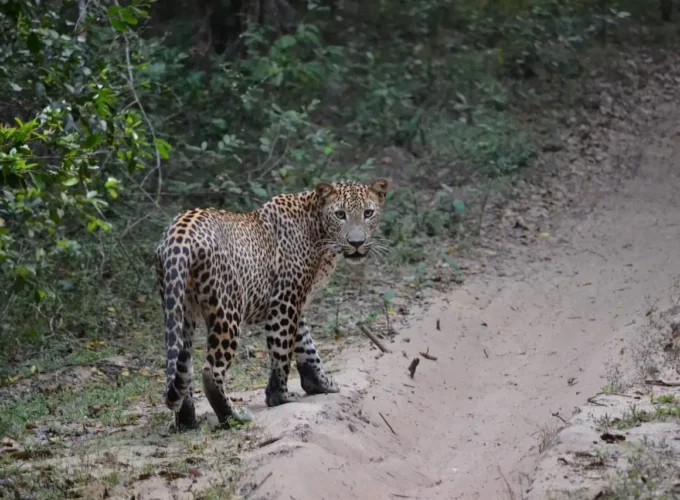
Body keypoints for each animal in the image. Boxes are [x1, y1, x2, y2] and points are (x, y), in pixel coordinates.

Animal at [154, 177, 388, 430]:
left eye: (368, 213)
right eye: (340, 214)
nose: (356, 243)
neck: (319, 230)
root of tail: (179, 234)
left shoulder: (298, 304)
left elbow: (307, 347)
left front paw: (320, 384)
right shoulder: (284, 301)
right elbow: (282, 350)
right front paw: (279, 397)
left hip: (179, 310)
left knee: (181, 365)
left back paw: (186, 421)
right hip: (227, 311)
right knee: (210, 370)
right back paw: (232, 416)